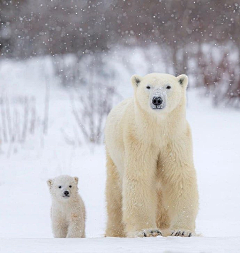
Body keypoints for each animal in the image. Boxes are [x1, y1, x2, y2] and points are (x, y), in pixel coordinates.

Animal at [105, 72, 199, 237]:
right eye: (148, 86)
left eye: (168, 86)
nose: (157, 99)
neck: (157, 130)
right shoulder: (139, 139)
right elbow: (140, 176)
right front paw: (147, 230)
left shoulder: (175, 139)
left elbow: (179, 176)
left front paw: (182, 230)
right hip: (113, 156)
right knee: (115, 195)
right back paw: (114, 233)